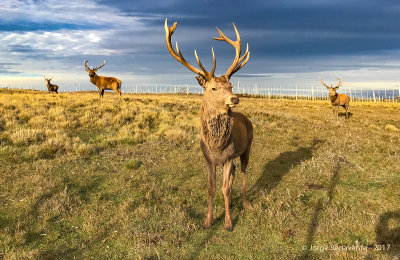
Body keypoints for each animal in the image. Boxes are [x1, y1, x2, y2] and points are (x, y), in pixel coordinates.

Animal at [164, 18, 252, 232]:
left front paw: (228, 223)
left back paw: (246, 203)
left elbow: (225, 189)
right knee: (235, 173)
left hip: (247, 148)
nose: (234, 98)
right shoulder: (208, 159)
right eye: (213, 88)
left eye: (231, 85)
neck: (216, 146)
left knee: (243, 172)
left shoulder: (228, 157)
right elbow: (212, 188)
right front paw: (207, 221)